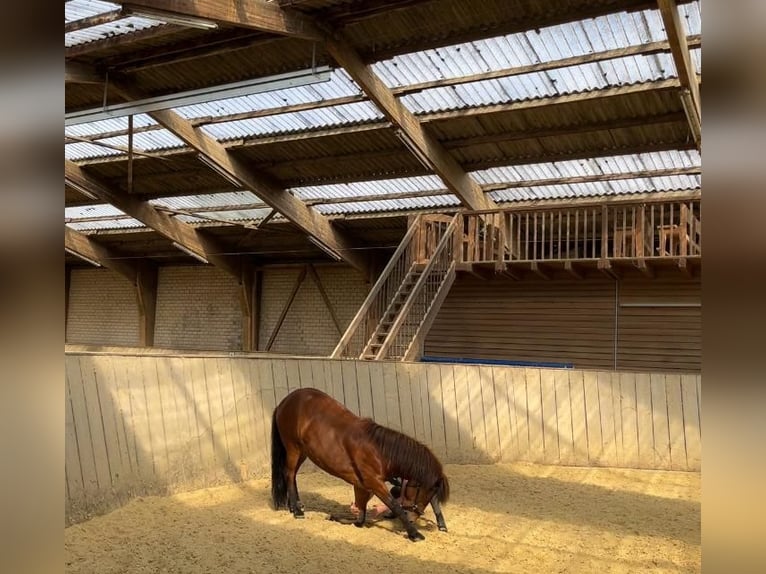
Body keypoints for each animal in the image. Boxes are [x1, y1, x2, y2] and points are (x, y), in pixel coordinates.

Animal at [270, 387, 449, 541]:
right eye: (424, 491)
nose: (413, 518)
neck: (379, 451)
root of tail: (284, 402)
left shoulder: (361, 485)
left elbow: (360, 519)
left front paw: (337, 517)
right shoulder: (374, 483)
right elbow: (393, 505)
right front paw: (414, 533)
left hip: (303, 452)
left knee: (292, 475)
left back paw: (295, 505)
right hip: (293, 447)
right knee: (289, 473)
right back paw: (297, 510)